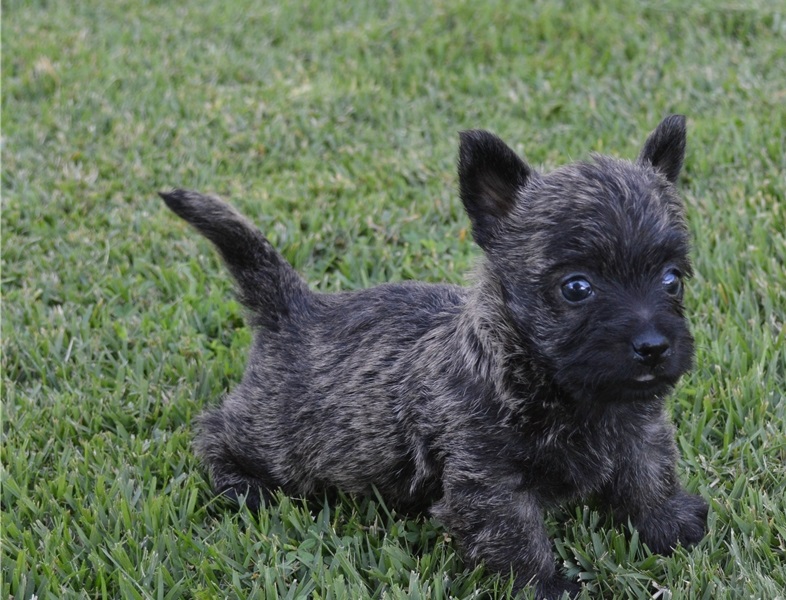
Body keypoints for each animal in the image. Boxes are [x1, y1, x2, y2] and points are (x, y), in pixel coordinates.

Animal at [159, 115, 704, 596]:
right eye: (577, 287)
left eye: (672, 279)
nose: (654, 347)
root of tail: (294, 308)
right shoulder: (488, 482)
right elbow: (516, 537)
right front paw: (546, 587)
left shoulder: (642, 434)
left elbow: (650, 479)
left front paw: (670, 527)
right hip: (277, 439)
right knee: (215, 430)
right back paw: (242, 484)